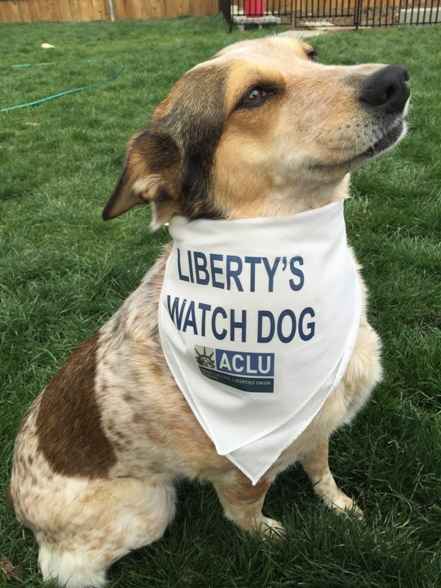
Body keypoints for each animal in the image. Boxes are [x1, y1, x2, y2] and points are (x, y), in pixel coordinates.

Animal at [9, 34, 410, 584]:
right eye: (255, 95)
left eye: (312, 55)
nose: (396, 79)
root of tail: (18, 506)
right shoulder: (242, 468)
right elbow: (245, 512)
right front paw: (270, 536)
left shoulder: (319, 421)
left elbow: (321, 468)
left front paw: (340, 506)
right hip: (148, 508)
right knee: (67, 568)